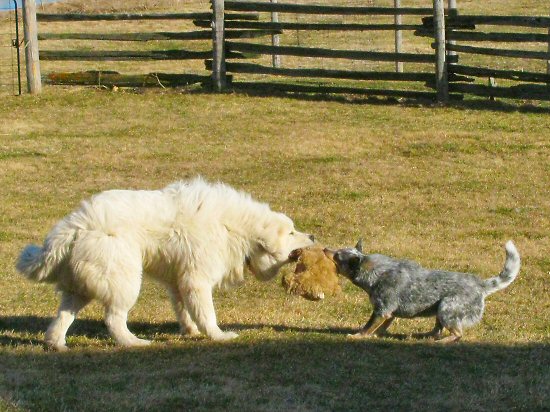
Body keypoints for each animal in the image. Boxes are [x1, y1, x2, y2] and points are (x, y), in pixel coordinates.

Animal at [16, 178, 314, 350]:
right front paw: (218, 336)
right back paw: (133, 343)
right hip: (124, 280)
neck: (237, 229)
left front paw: (190, 332)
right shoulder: (196, 280)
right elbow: (207, 314)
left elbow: (185, 311)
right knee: (113, 319)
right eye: (291, 233)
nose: (312, 236)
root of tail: (75, 225)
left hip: (82, 286)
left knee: (62, 317)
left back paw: (56, 344)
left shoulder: (178, 282)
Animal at [324, 240, 520, 342]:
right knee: (438, 329)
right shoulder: (390, 314)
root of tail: (480, 284)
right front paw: (378, 334)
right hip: (440, 312)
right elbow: (381, 327)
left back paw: (441, 342)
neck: (373, 271)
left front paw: (357, 335)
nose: (325, 248)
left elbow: (368, 326)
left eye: (337, 256)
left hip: (447, 307)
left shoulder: (381, 310)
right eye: (338, 249)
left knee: (457, 334)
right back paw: (427, 336)